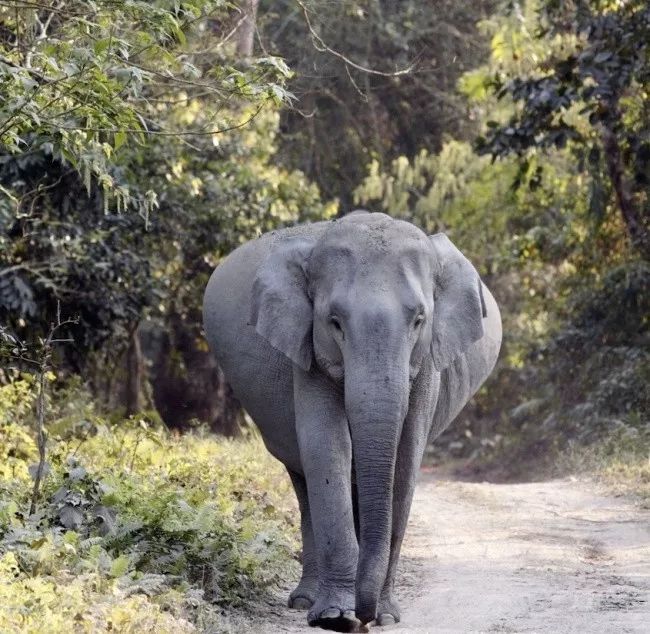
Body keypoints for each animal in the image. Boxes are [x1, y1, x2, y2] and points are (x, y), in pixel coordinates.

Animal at [202, 211, 502, 628]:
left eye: (419, 320)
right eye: (335, 322)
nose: (366, 617)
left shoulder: (428, 362)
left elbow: (406, 457)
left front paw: (387, 616)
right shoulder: (307, 350)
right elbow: (327, 448)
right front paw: (336, 618)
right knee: (303, 480)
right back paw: (305, 601)